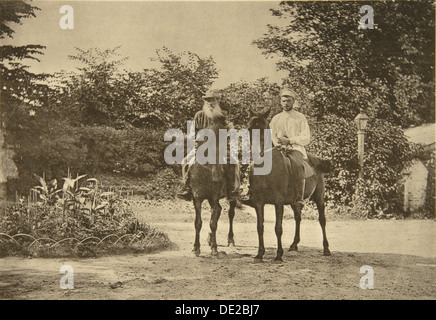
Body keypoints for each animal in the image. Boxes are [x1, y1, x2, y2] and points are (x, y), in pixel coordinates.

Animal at [189, 124, 238, 256]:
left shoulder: (214, 197)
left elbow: (213, 223)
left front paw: (214, 249)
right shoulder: (197, 199)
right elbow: (198, 223)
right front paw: (196, 248)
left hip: (230, 197)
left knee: (231, 214)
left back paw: (230, 240)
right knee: (219, 210)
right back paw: (210, 239)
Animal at [245, 111, 330, 262]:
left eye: (264, 128)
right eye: (249, 128)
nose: (256, 153)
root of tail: (318, 160)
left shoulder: (278, 202)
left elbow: (278, 228)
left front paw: (279, 254)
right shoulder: (259, 203)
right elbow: (260, 227)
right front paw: (260, 254)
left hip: (319, 197)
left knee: (322, 220)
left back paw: (326, 249)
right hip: (294, 202)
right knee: (298, 217)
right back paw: (294, 245)